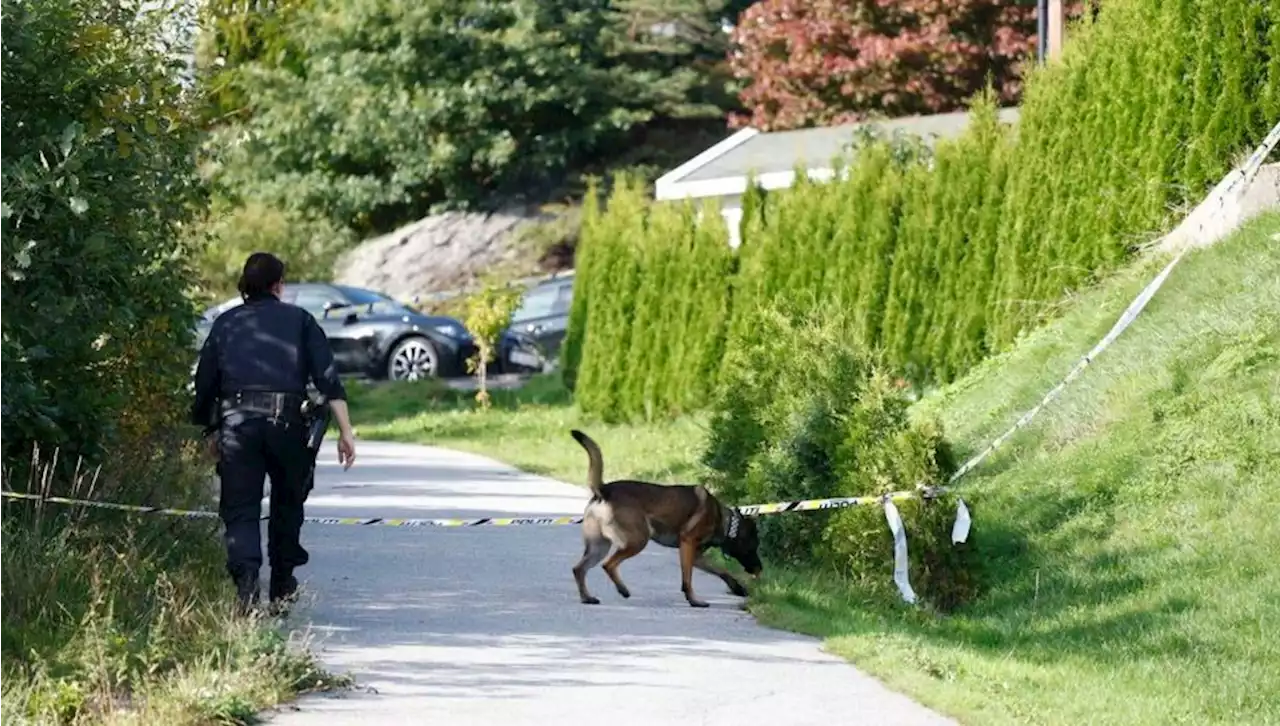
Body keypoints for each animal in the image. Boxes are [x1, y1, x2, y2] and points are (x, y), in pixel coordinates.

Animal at [570, 432, 757, 606]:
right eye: (753, 546)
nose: (759, 568)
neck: (725, 522)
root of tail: (604, 490)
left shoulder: (697, 557)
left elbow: (721, 571)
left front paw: (737, 587)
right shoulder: (688, 544)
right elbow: (687, 580)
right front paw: (694, 600)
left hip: (599, 546)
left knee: (578, 569)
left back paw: (587, 597)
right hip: (637, 540)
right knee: (608, 564)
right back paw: (622, 589)